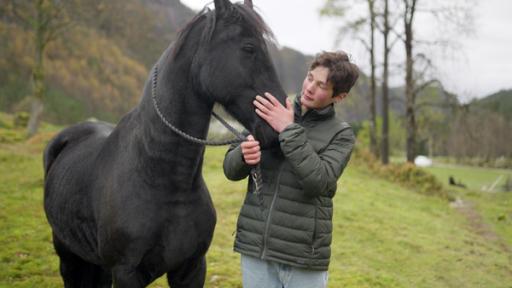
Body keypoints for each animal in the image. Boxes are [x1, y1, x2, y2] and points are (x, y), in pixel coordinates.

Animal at [42, 1, 286, 286]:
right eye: (249, 48)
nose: (280, 122)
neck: (163, 180)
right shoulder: (125, 272)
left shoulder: (192, 267)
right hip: (68, 255)